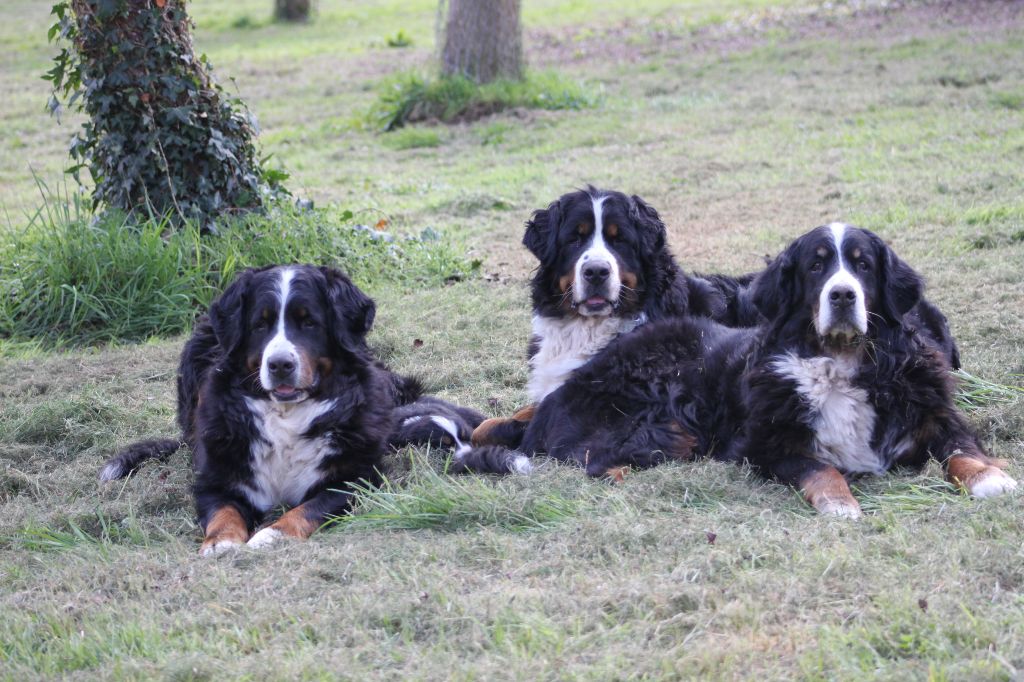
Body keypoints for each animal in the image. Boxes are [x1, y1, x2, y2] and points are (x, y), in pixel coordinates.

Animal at [99, 262, 479, 557]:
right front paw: (221, 543)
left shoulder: (354, 480)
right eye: (260, 324)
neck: (286, 416)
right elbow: (224, 512)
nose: (280, 364)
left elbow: (308, 509)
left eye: (308, 322)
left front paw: (271, 535)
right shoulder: (217, 478)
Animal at [462, 223, 1015, 516]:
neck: (841, 362)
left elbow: (962, 450)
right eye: (816, 266)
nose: (842, 295)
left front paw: (993, 479)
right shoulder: (765, 444)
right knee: (588, 459)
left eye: (862, 265)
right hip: (666, 422)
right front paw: (840, 504)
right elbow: (821, 467)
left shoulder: (931, 416)